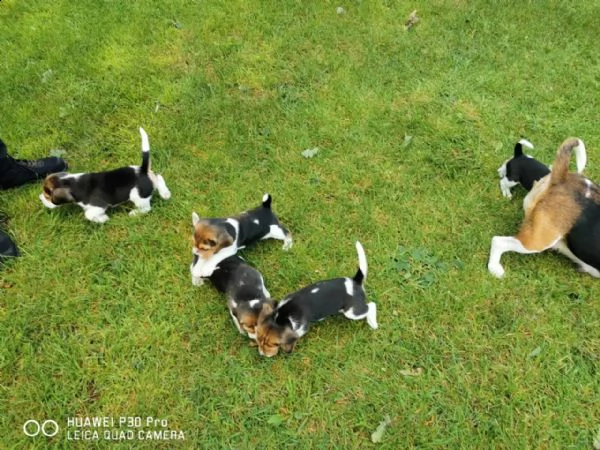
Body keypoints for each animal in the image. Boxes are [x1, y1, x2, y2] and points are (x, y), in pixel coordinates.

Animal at [39, 127, 171, 222]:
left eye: (47, 195)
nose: (40, 198)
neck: (70, 182)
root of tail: (142, 170)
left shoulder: (98, 206)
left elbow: (88, 214)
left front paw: (103, 219)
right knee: (158, 177)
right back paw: (165, 194)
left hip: (137, 197)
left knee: (147, 208)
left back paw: (134, 213)